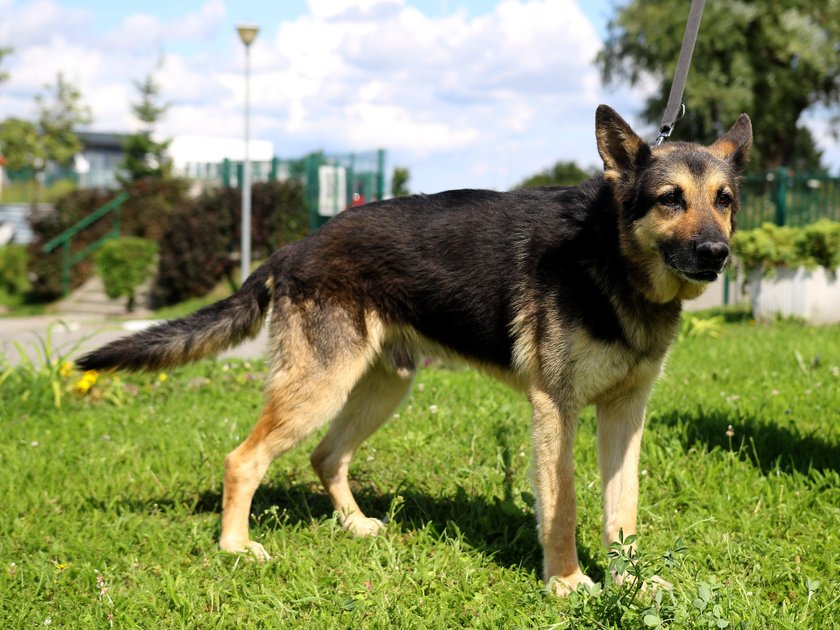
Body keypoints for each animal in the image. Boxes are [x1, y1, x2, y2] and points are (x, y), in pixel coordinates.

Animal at [75, 106, 752, 596]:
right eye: (669, 198)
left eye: (724, 200)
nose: (716, 254)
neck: (609, 256)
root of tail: (291, 248)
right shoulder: (554, 410)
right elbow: (562, 509)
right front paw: (566, 583)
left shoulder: (624, 417)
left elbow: (623, 512)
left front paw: (630, 584)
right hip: (321, 389)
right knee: (243, 459)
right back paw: (236, 548)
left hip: (382, 388)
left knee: (326, 457)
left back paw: (354, 526)